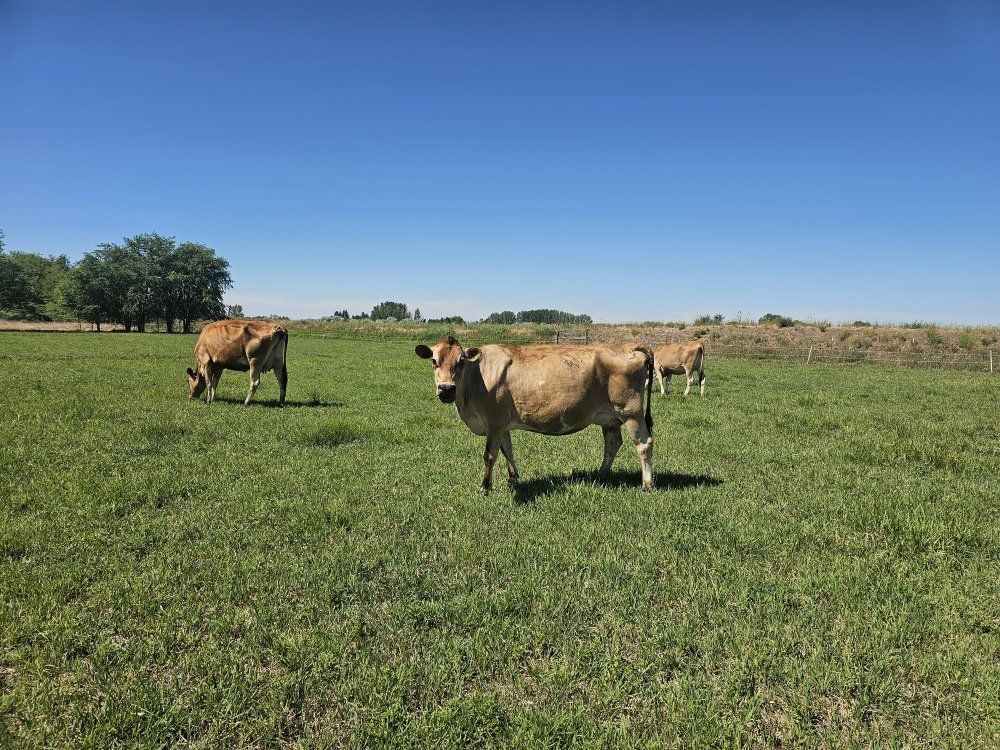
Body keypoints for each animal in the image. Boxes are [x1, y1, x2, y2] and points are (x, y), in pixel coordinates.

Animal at [415, 337, 655, 491]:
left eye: (461, 361)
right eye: (434, 361)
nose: (446, 389)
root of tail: (629, 346)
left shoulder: (494, 420)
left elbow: (490, 455)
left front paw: (485, 487)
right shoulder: (502, 423)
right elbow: (507, 449)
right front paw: (513, 478)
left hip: (630, 411)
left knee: (643, 443)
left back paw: (646, 483)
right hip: (609, 416)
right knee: (613, 444)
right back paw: (600, 475)